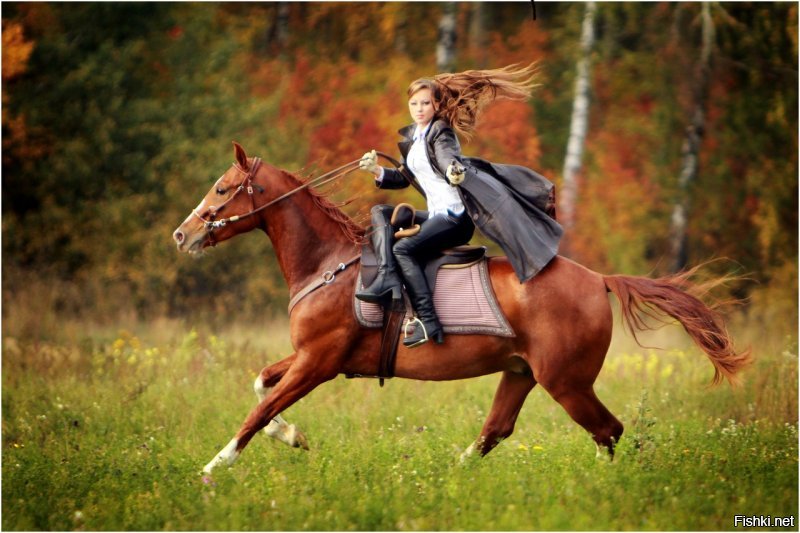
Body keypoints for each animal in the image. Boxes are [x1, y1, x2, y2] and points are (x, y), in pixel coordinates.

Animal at [170, 143, 752, 472]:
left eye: (221, 188)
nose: (182, 234)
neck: (327, 265)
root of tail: (599, 279)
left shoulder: (319, 363)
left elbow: (258, 410)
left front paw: (213, 468)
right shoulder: (310, 358)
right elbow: (262, 387)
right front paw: (292, 437)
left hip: (566, 382)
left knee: (607, 430)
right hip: (521, 373)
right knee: (496, 432)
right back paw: (451, 477)